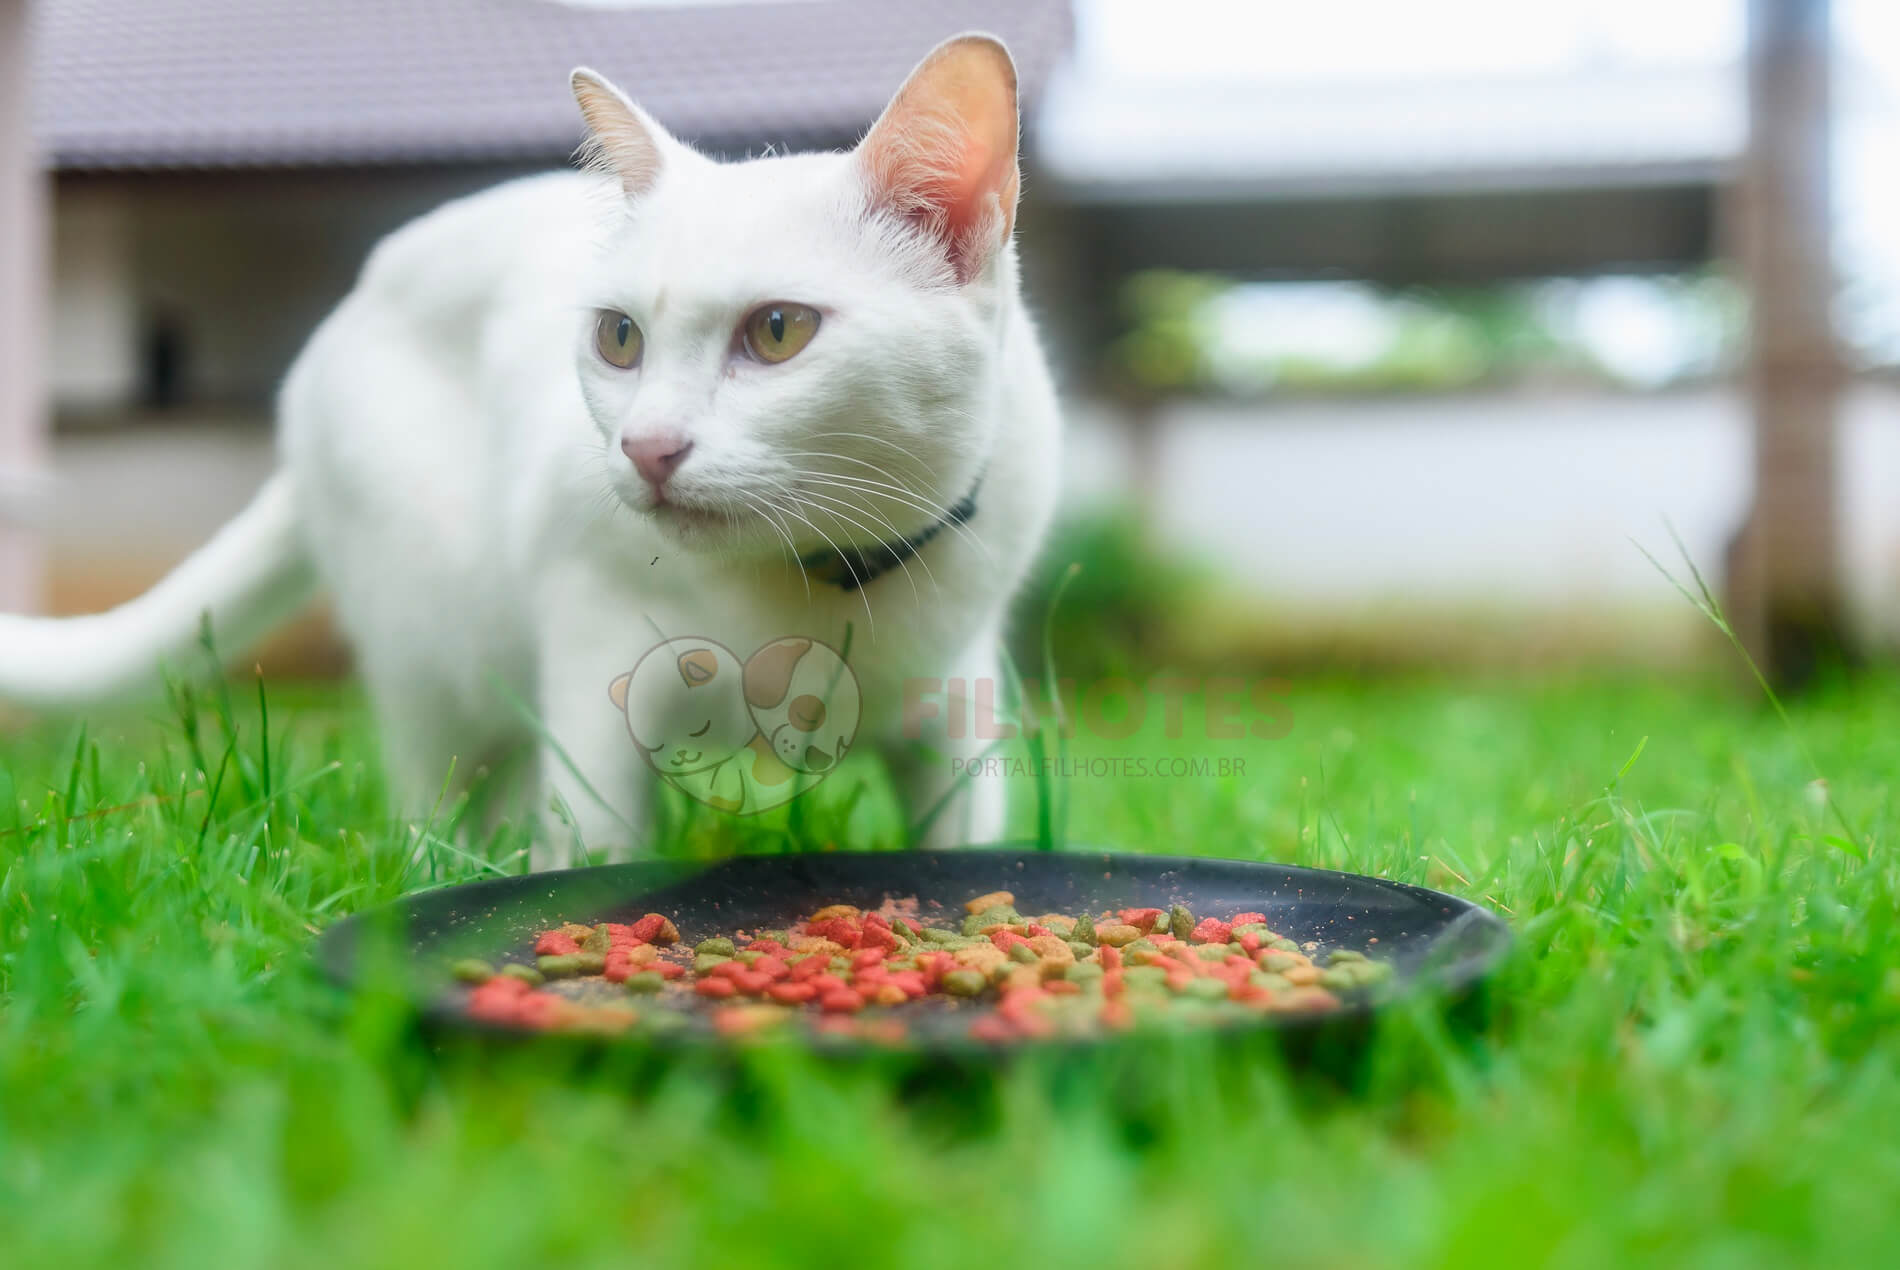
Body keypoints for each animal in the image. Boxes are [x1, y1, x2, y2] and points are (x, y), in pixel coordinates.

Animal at [0, 34, 1064, 863]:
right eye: (620, 338)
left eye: (777, 331)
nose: (647, 447)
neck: (819, 581)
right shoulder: (595, 669)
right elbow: (594, 849)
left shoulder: (956, 712)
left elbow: (963, 844)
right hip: (437, 656)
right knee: (438, 803)